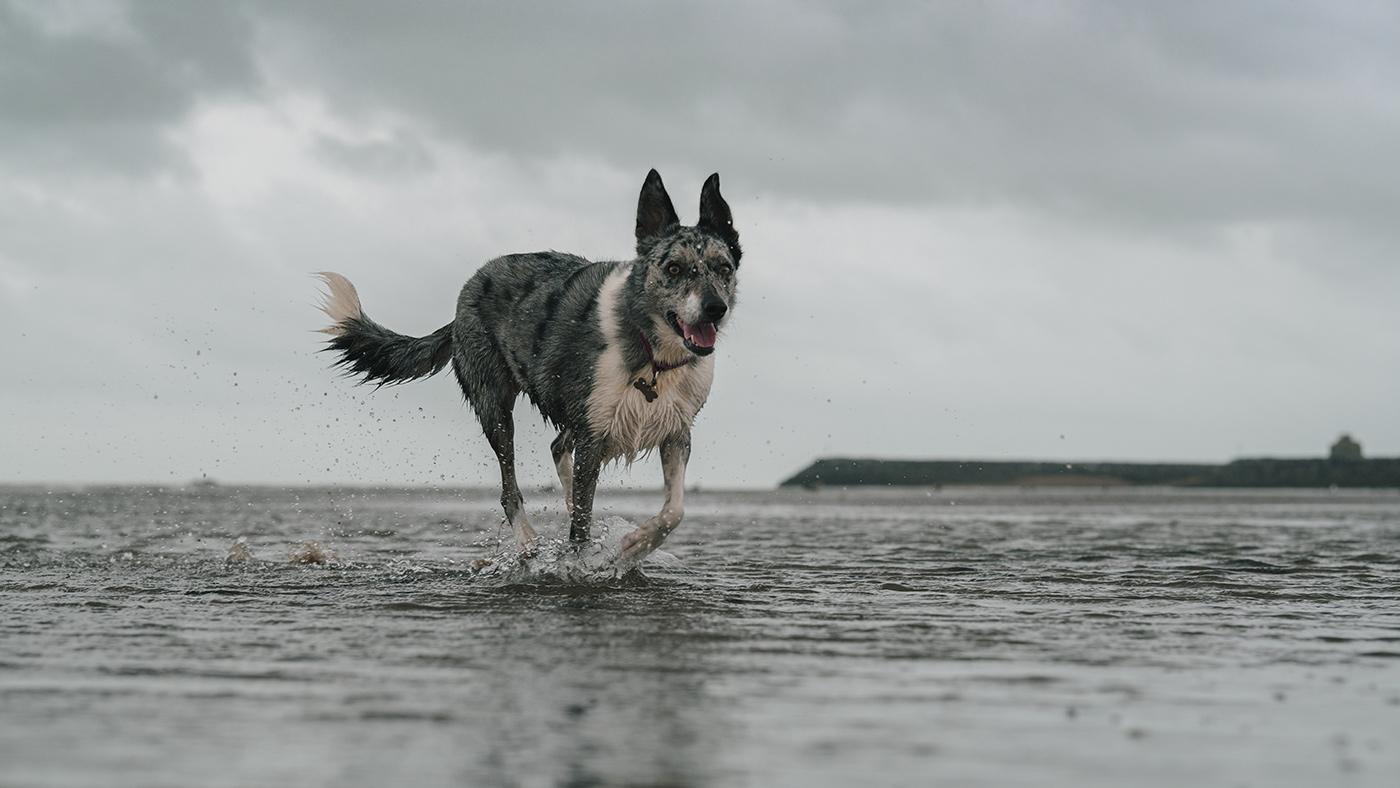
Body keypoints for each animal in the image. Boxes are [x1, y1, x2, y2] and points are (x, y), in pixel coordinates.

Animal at [313, 170, 739, 559]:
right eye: (673, 268)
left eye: (725, 268)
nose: (715, 309)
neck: (653, 353)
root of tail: (463, 298)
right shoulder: (593, 435)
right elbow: (580, 529)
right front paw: (583, 561)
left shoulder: (675, 430)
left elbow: (675, 510)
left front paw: (636, 544)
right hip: (496, 409)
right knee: (510, 487)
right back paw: (527, 540)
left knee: (557, 448)